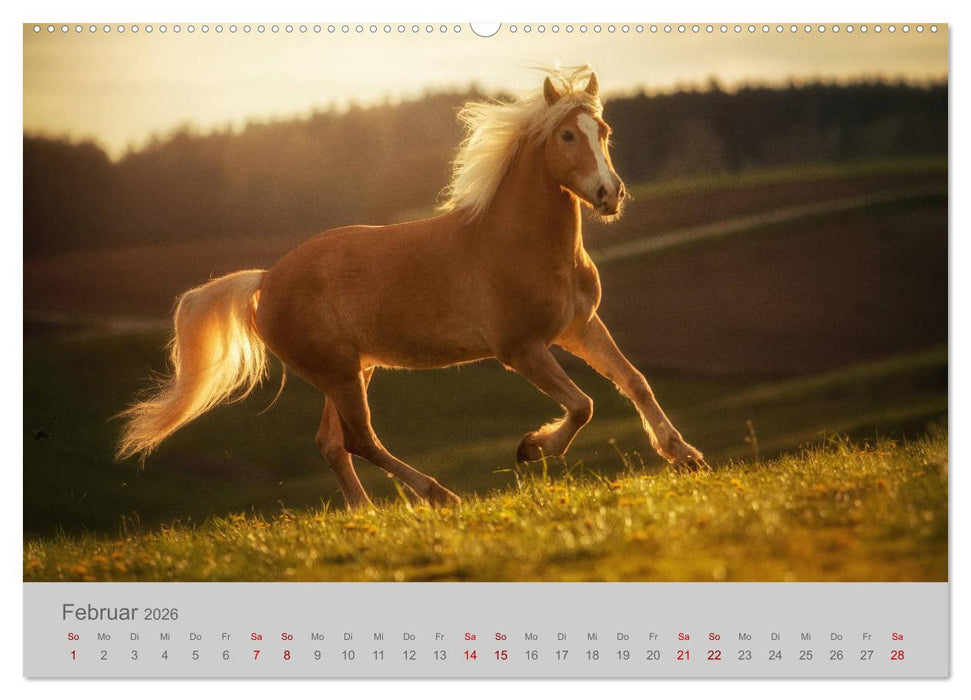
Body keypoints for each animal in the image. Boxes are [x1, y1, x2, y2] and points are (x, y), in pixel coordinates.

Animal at [116, 66, 706, 508]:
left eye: (603, 133)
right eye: (566, 135)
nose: (610, 194)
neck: (524, 243)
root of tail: (266, 280)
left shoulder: (578, 329)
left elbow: (634, 382)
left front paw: (685, 456)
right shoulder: (521, 349)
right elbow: (583, 405)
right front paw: (531, 449)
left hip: (351, 370)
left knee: (332, 443)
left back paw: (366, 514)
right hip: (339, 372)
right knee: (360, 439)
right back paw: (439, 495)